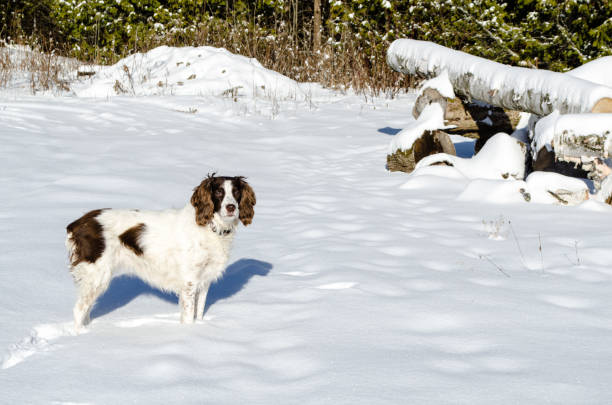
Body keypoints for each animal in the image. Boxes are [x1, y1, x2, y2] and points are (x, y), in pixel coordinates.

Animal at [66, 174, 256, 328]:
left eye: (236, 192)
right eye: (218, 192)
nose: (231, 207)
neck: (210, 227)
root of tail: (77, 223)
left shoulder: (204, 281)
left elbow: (199, 313)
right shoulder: (189, 283)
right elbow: (188, 317)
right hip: (96, 275)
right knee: (78, 309)